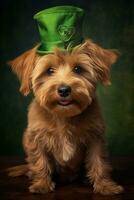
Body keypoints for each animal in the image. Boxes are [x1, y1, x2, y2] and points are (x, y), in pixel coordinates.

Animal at [7, 39, 123, 195]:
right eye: (49, 71)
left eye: (78, 69)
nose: (64, 90)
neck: (64, 115)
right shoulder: (36, 138)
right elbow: (40, 162)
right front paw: (42, 185)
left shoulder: (95, 138)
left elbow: (99, 162)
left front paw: (105, 186)